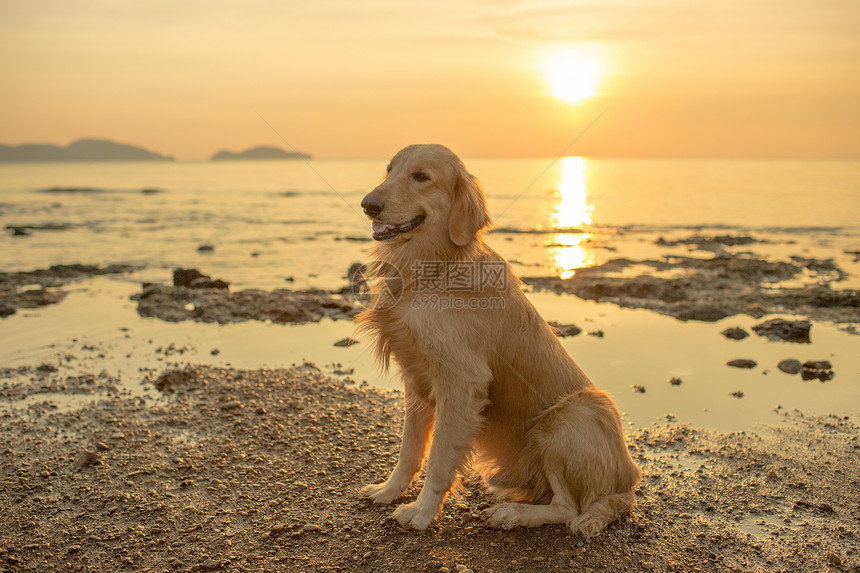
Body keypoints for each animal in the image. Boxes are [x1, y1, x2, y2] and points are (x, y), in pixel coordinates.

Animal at [356, 144, 640, 536]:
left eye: (421, 176)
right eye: (389, 169)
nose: (368, 204)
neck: (433, 266)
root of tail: (627, 485)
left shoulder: (461, 384)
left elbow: (439, 460)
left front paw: (422, 512)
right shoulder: (416, 379)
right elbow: (409, 450)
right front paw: (389, 490)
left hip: (569, 417)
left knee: (568, 509)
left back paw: (513, 514)